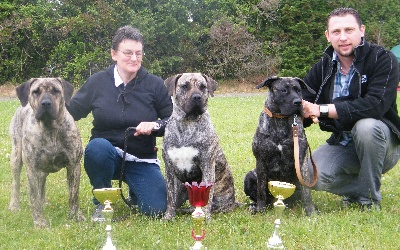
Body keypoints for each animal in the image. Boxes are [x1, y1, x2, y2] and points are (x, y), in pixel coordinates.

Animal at [9, 78, 85, 229]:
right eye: (35, 91)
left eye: (56, 91)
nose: (46, 103)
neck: (50, 129)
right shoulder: (32, 169)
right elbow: (34, 198)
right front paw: (40, 223)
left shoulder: (74, 165)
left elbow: (74, 195)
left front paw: (75, 216)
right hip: (16, 157)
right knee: (16, 183)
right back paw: (14, 206)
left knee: (42, 183)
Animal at [162, 73, 238, 221]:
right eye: (185, 86)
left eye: (203, 87)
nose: (197, 97)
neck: (187, 123)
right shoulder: (170, 168)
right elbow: (170, 196)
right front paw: (168, 216)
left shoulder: (207, 165)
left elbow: (207, 197)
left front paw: (206, 218)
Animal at [242, 75, 318, 215]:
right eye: (283, 90)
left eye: (298, 90)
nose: (298, 102)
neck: (280, 120)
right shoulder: (261, 160)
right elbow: (261, 190)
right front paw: (260, 209)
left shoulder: (301, 161)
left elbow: (306, 191)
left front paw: (311, 211)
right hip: (249, 176)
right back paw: (255, 206)